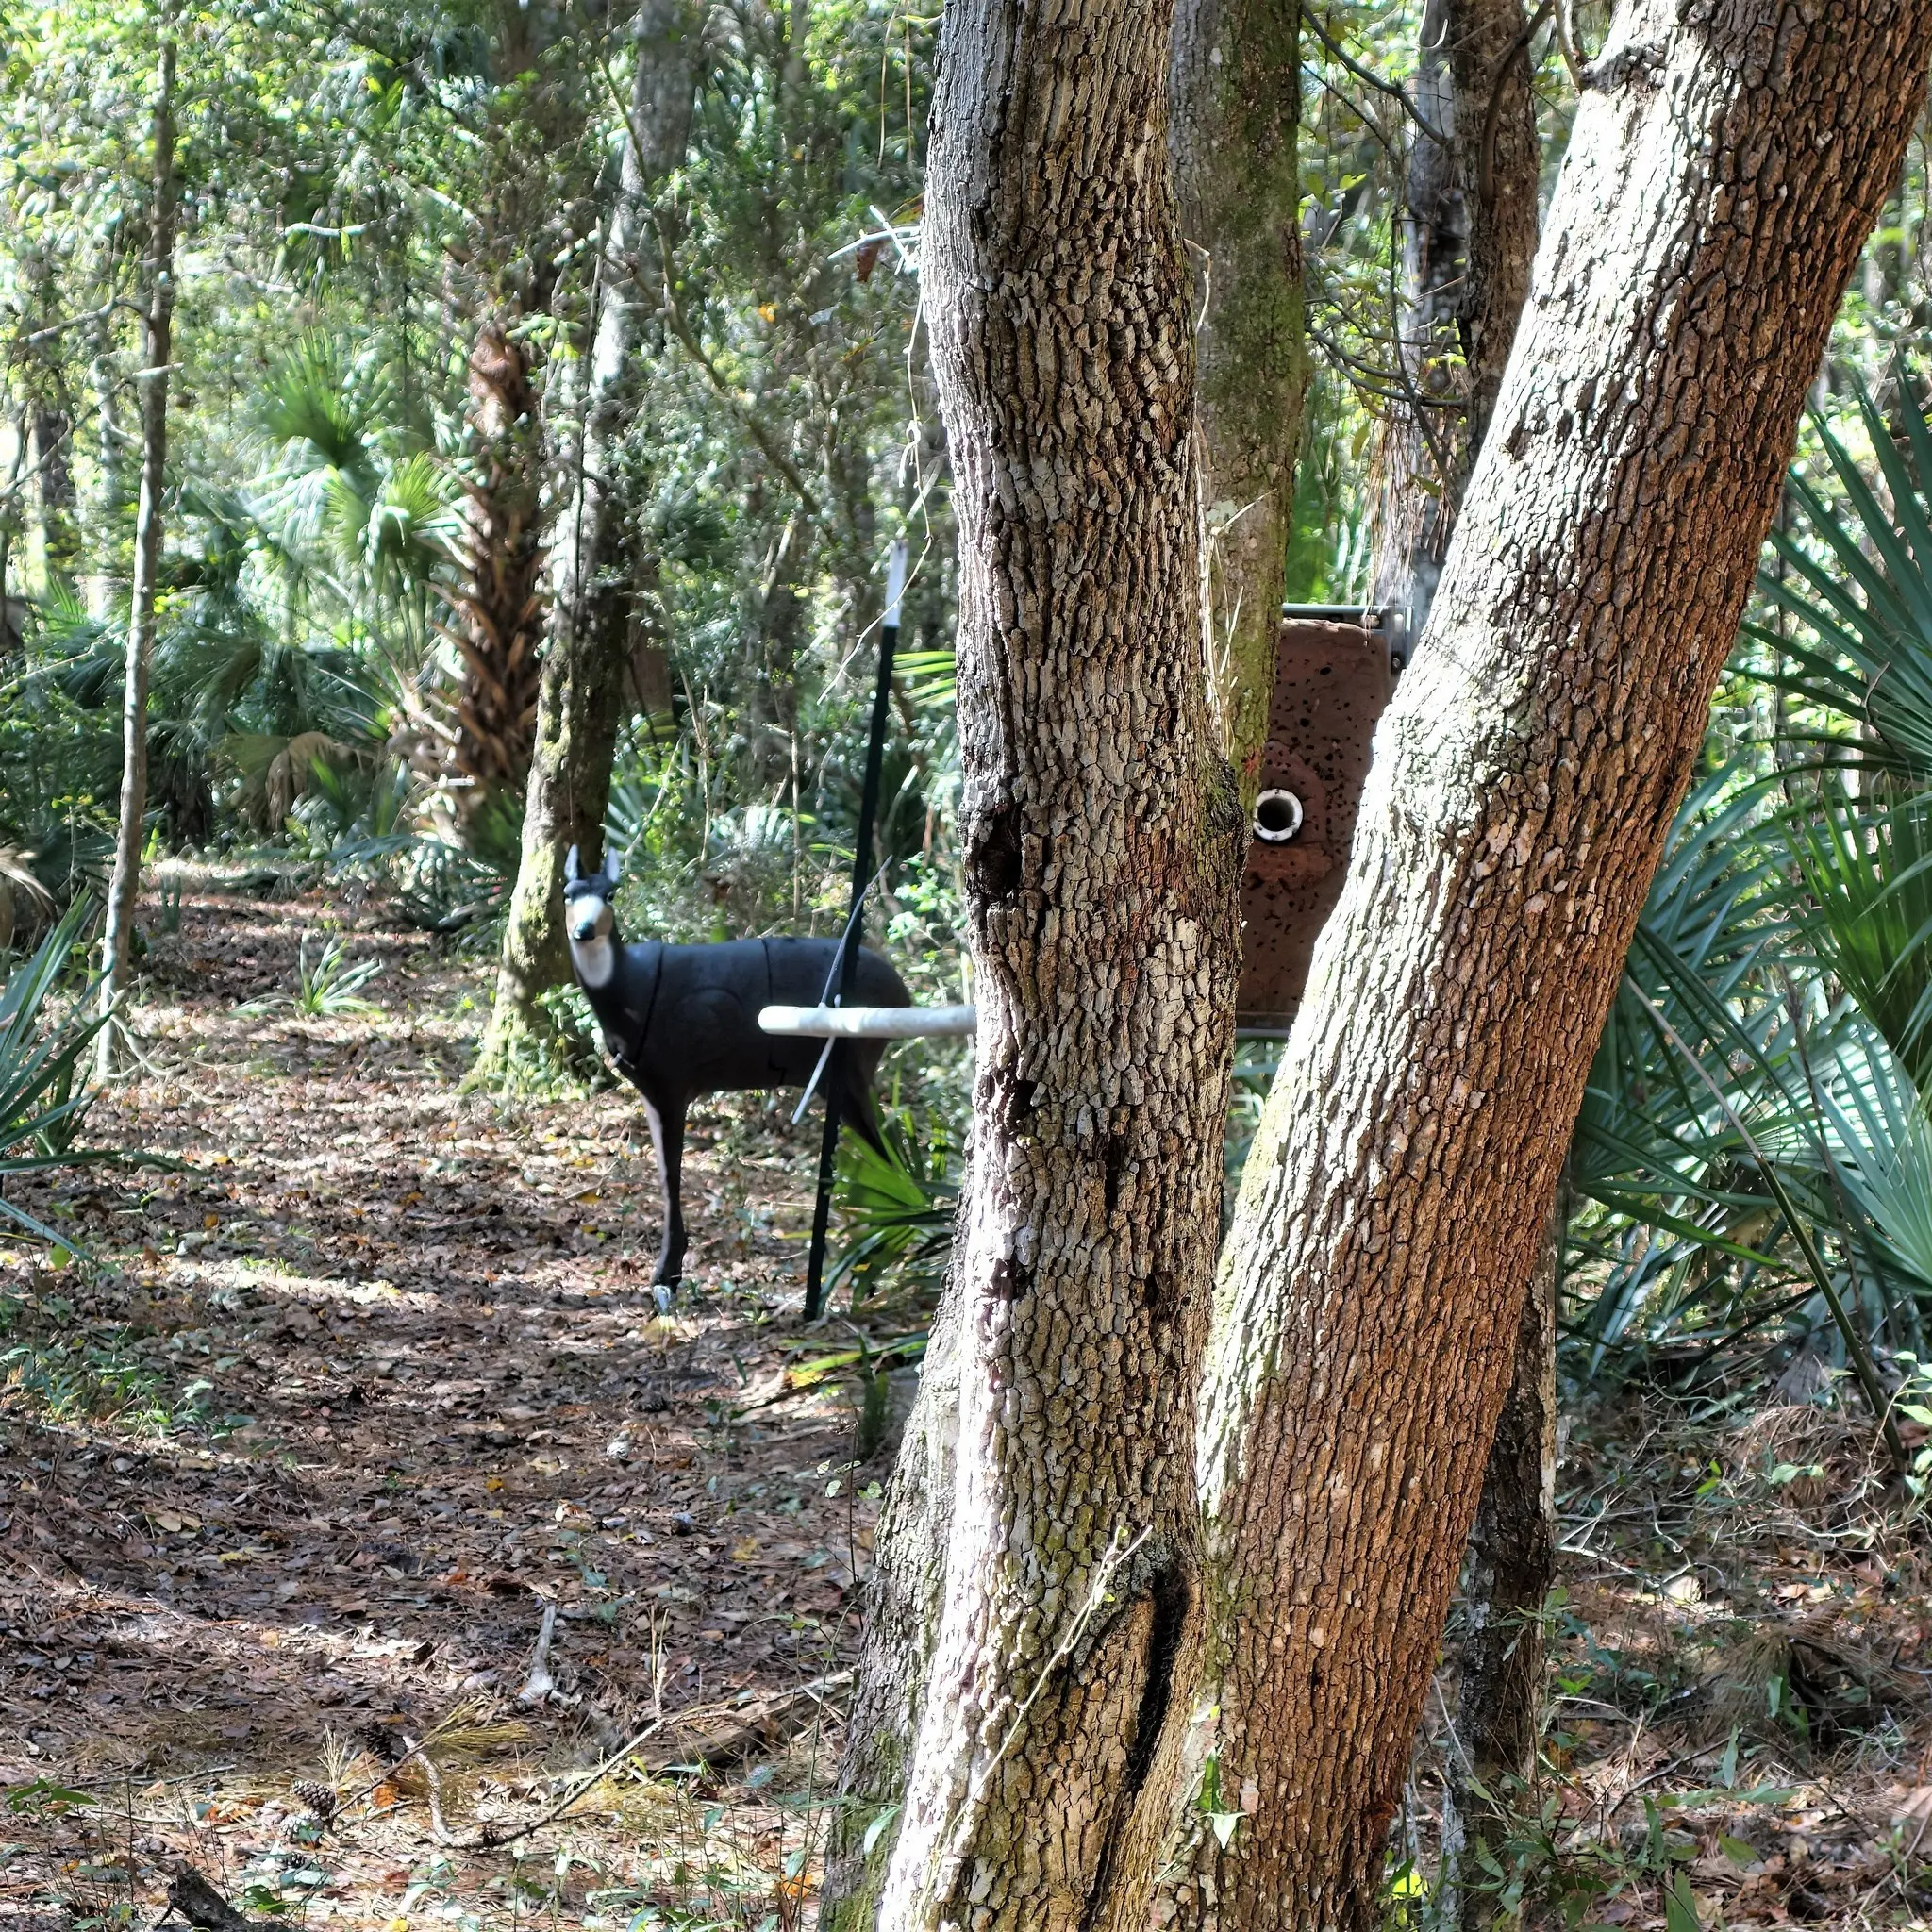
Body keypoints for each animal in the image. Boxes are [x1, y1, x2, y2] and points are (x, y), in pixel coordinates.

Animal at [562, 845, 911, 1295]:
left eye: (610, 895)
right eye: (567, 894)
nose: (584, 930)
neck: (632, 993)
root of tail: (902, 993)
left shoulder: (672, 1077)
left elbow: (671, 1174)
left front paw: (666, 1278)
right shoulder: (652, 1086)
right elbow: (665, 1173)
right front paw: (668, 1274)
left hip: (854, 1056)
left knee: (890, 1151)